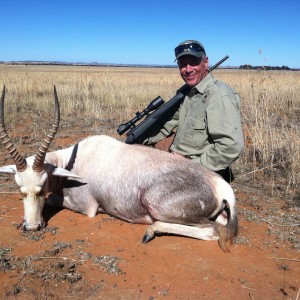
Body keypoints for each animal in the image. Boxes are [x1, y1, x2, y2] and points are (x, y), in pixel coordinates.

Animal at [0, 86, 239, 251]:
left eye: (41, 187)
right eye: (19, 188)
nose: (31, 227)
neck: (74, 159)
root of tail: (220, 186)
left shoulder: (86, 207)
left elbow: (53, 200)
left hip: (158, 205)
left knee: (211, 230)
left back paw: (149, 232)